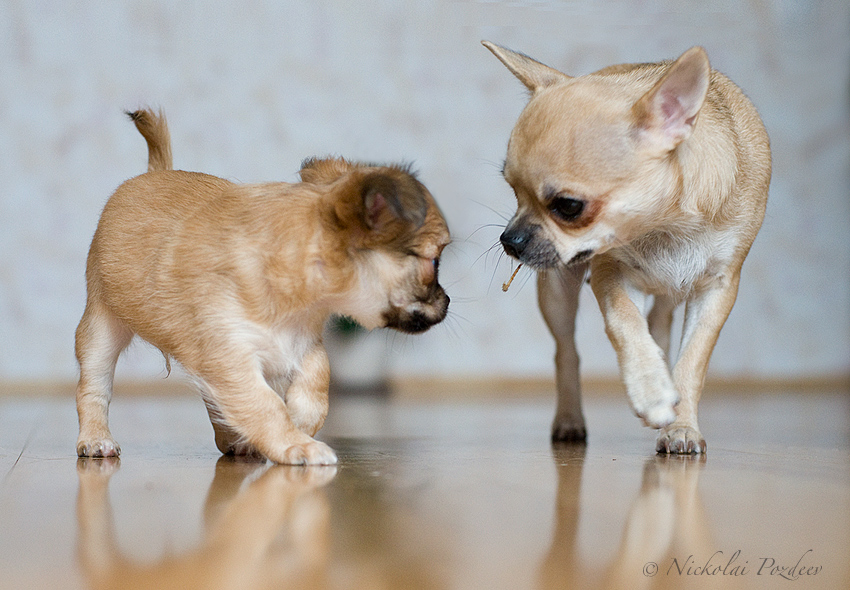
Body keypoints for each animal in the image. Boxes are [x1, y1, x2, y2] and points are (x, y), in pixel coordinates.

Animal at [76, 108, 450, 464]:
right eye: (435, 262)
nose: (447, 300)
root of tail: (154, 173)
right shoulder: (229, 357)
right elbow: (264, 405)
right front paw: (297, 444)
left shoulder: (303, 344)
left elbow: (317, 382)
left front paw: (300, 423)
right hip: (101, 330)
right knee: (93, 388)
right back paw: (96, 440)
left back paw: (237, 442)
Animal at [484, 42, 768, 458]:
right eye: (513, 191)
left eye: (568, 206)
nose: (510, 240)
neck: (665, 228)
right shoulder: (611, 274)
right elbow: (626, 325)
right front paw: (650, 390)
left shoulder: (716, 288)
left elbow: (692, 361)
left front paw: (681, 425)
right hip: (557, 292)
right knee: (566, 351)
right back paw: (570, 419)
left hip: (672, 290)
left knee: (660, 322)